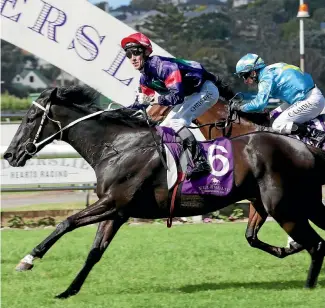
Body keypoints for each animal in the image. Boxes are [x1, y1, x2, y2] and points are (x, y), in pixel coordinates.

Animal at [4, 86, 324, 298]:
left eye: (31, 118)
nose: (9, 154)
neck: (118, 145)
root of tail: (305, 147)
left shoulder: (113, 202)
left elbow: (66, 222)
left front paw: (28, 259)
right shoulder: (117, 211)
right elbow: (94, 251)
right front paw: (68, 291)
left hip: (284, 207)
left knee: (315, 244)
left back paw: (307, 287)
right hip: (293, 203)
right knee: (305, 240)